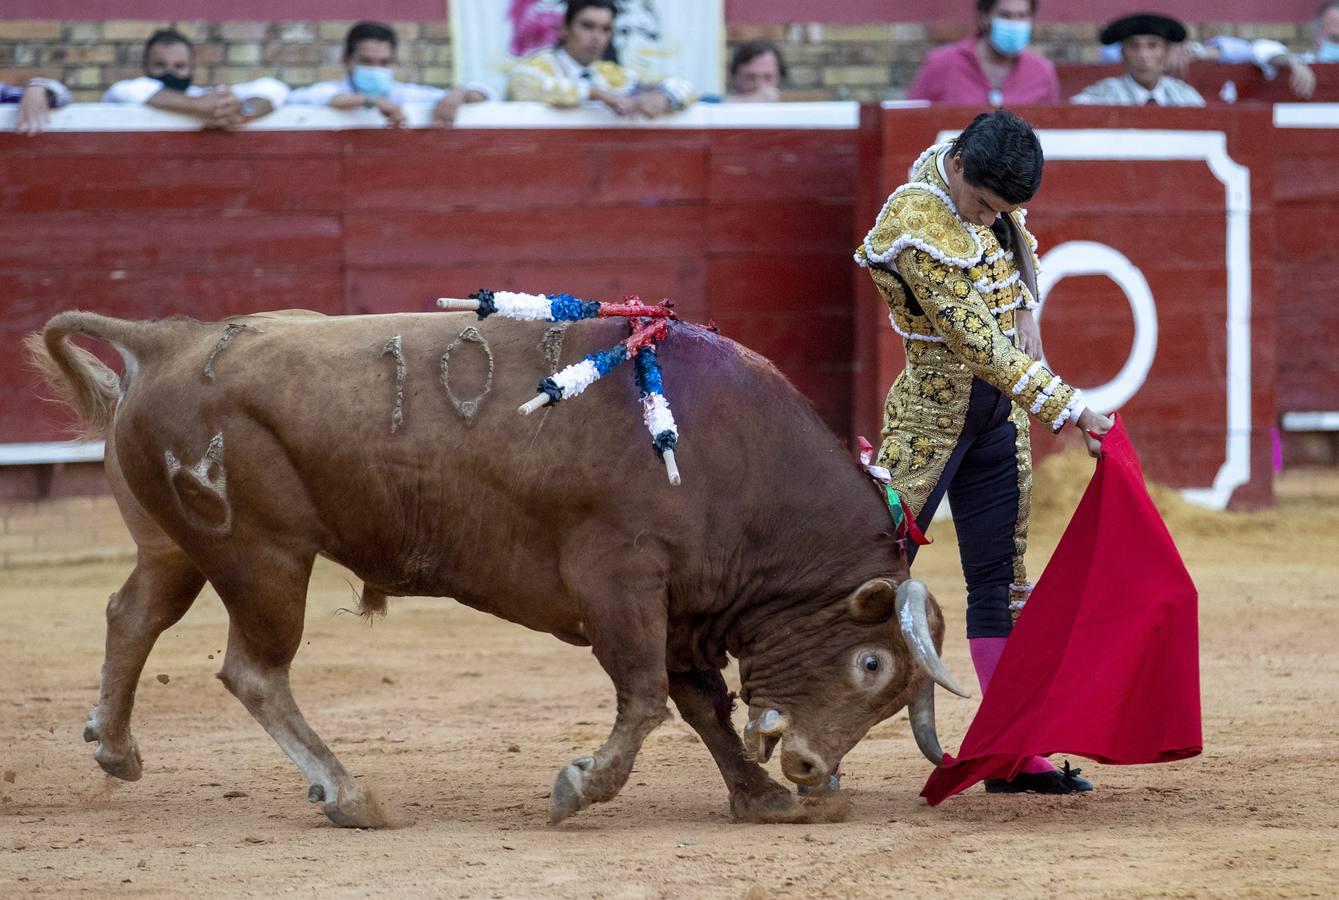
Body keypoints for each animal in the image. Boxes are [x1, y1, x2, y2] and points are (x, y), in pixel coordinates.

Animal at [26, 310, 969, 830]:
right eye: (871, 663)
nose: (810, 767)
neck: (729, 455)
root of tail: (171, 340)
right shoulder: (621, 582)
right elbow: (645, 699)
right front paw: (579, 786)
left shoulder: (681, 609)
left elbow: (700, 705)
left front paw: (758, 797)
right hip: (263, 555)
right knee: (253, 670)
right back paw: (348, 794)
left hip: (179, 544)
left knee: (133, 614)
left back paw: (115, 748)